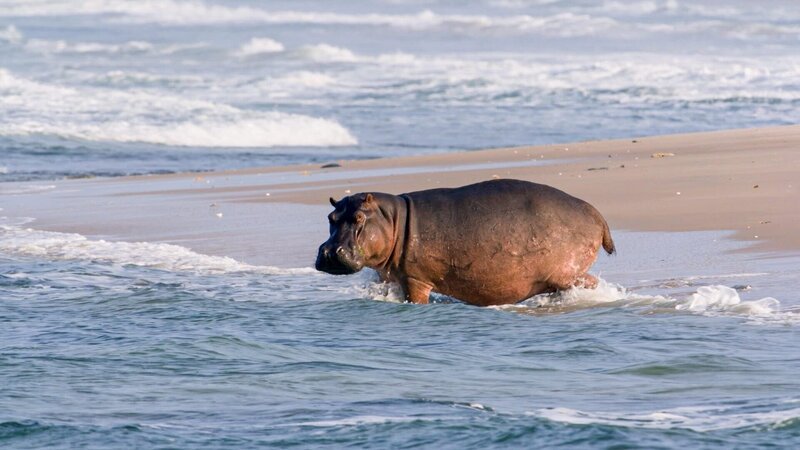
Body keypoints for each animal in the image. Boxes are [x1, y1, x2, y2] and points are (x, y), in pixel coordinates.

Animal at [315, 179, 615, 306]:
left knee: (589, 282)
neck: (394, 218)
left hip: (566, 272)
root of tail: (597, 214)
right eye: (331, 217)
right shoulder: (389, 278)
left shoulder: (415, 278)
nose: (329, 252)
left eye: (358, 217)